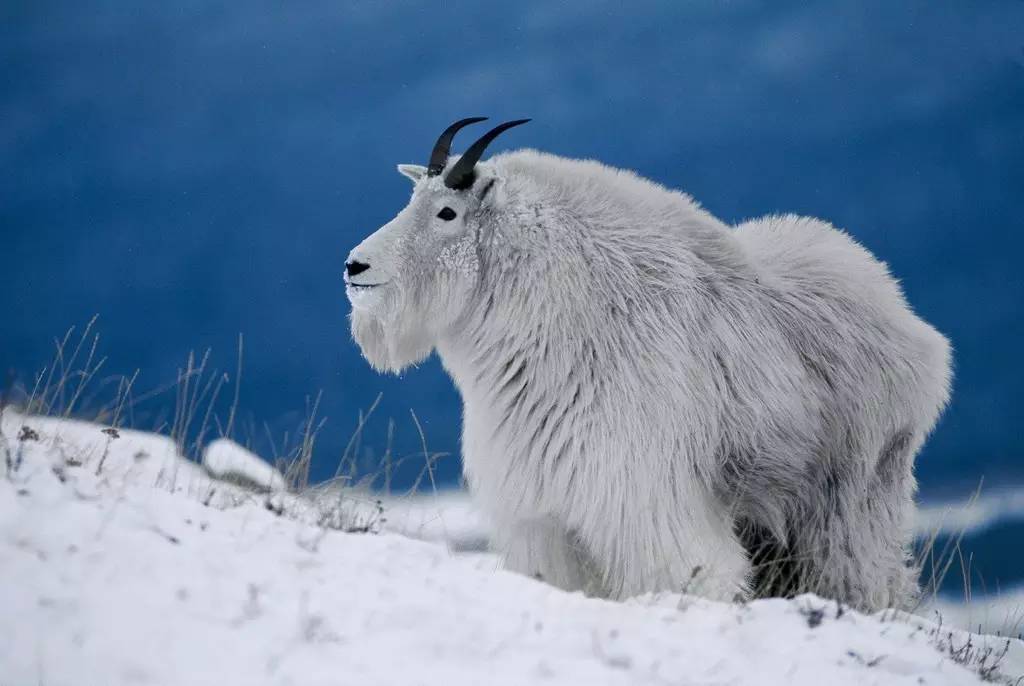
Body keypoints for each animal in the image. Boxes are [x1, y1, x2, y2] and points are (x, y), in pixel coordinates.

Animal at [344, 118, 950, 614]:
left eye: (447, 211)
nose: (355, 266)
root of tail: (909, 319)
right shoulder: (545, 516)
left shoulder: (643, 503)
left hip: (854, 496)